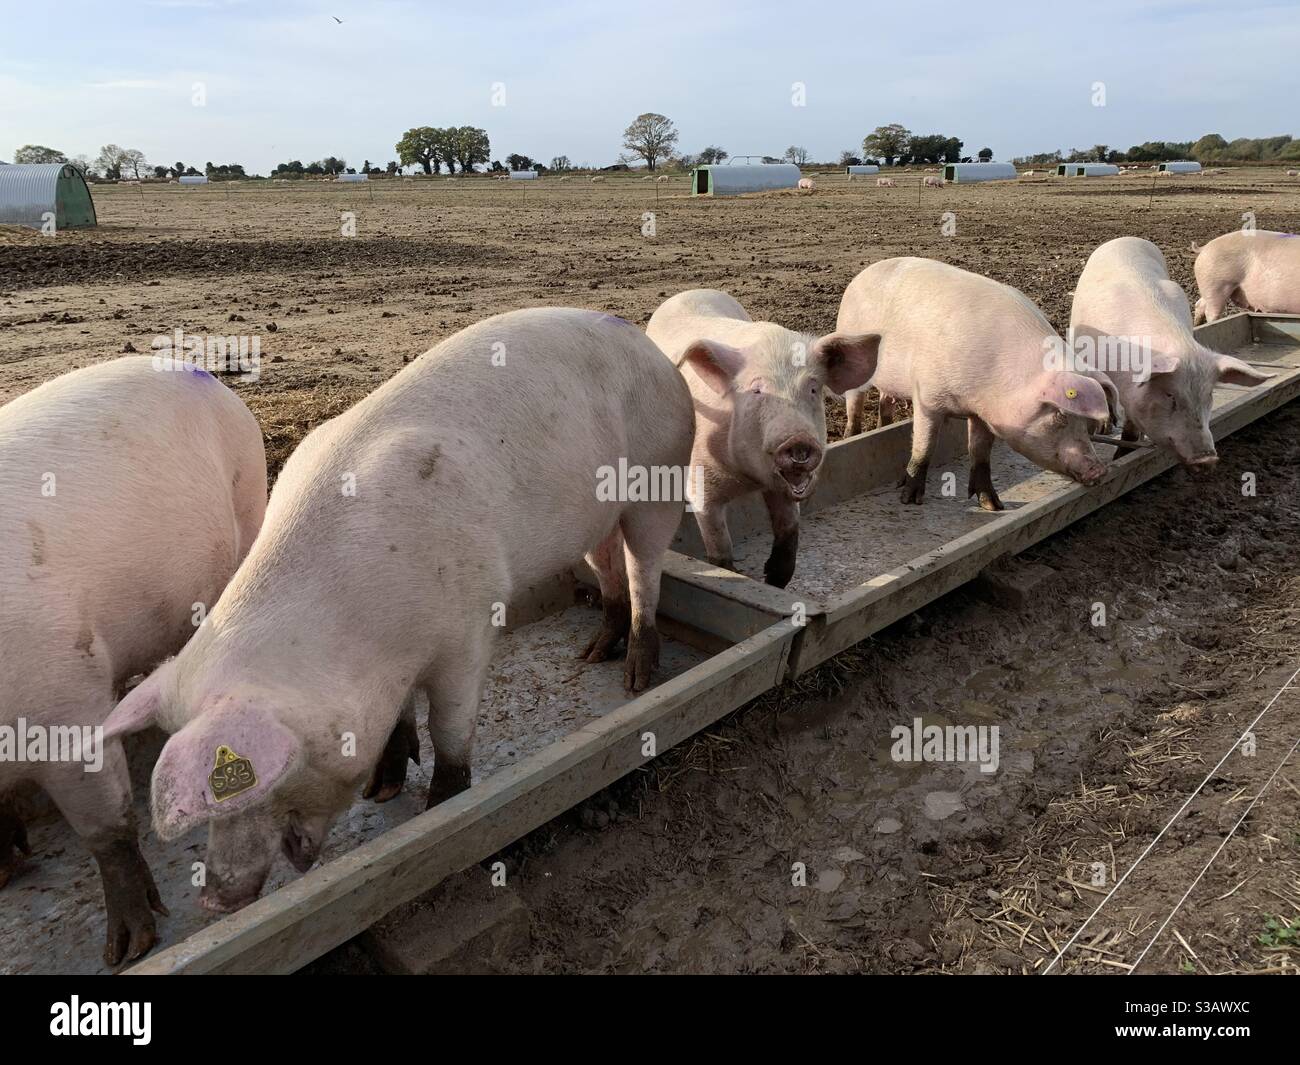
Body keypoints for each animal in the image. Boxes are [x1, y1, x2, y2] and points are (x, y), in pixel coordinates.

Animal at [0, 361, 266, 967]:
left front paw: (127, 952)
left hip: (250, 502)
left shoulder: (63, 701)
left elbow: (108, 827)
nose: (122, 954)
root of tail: (214, 381)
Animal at [102, 308, 696, 915]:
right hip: (598, 516)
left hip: (659, 478)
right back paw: (593, 654)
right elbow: (401, 718)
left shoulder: (468, 630)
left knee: (644, 570)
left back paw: (635, 679)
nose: (216, 901)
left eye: (261, 783)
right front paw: (382, 791)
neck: (363, 636)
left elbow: (448, 728)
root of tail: (650, 349)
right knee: (608, 567)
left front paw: (439, 809)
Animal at [644, 291, 878, 587]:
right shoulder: (700, 483)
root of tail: (686, 292)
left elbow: (789, 530)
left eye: (813, 389)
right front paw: (732, 572)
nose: (797, 438)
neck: (746, 479)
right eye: (756, 390)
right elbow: (719, 547)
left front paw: (773, 580)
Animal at [837, 257, 1123, 507]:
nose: (1098, 471)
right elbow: (925, 445)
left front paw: (993, 505)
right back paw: (851, 435)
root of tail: (863, 273)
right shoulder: (927, 396)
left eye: (1088, 423)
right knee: (854, 403)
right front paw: (909, 500)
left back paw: (880, 426)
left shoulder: (983, 414)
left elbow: (980, 452)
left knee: (885, 401)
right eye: (1060, 415)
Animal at [1071, 237, 1274, 470]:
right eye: (1170, 395)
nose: (1208, 458)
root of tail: (1127, 239)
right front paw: (1114, 451)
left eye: (1209, 395)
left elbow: (1131, 427)